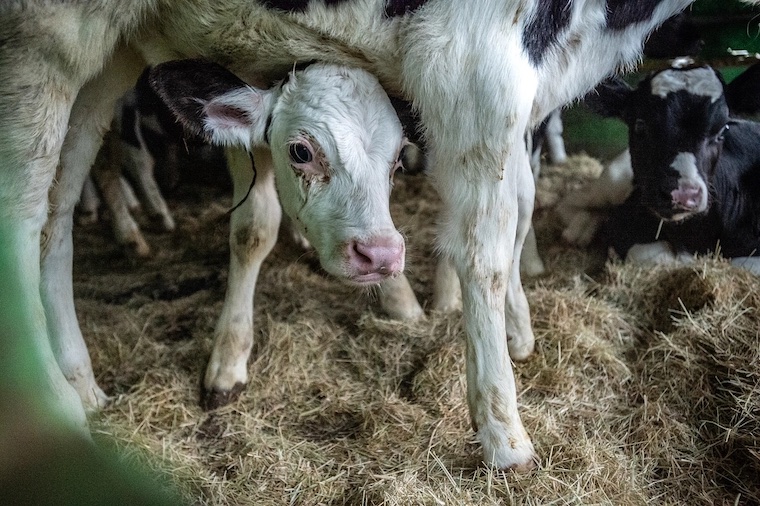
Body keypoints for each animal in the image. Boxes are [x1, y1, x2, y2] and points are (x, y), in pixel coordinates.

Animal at [4, 0, 759, 470]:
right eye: (302, 150)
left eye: (399, 157)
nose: (379, 254)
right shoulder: (479, 64)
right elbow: (483, 246)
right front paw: (503, 430)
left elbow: (514, 207)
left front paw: (510, 328)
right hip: (46, 38)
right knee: (24, 214)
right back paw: (56, 403)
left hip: (108, 58)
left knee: (60, 207)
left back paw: (81, 375)